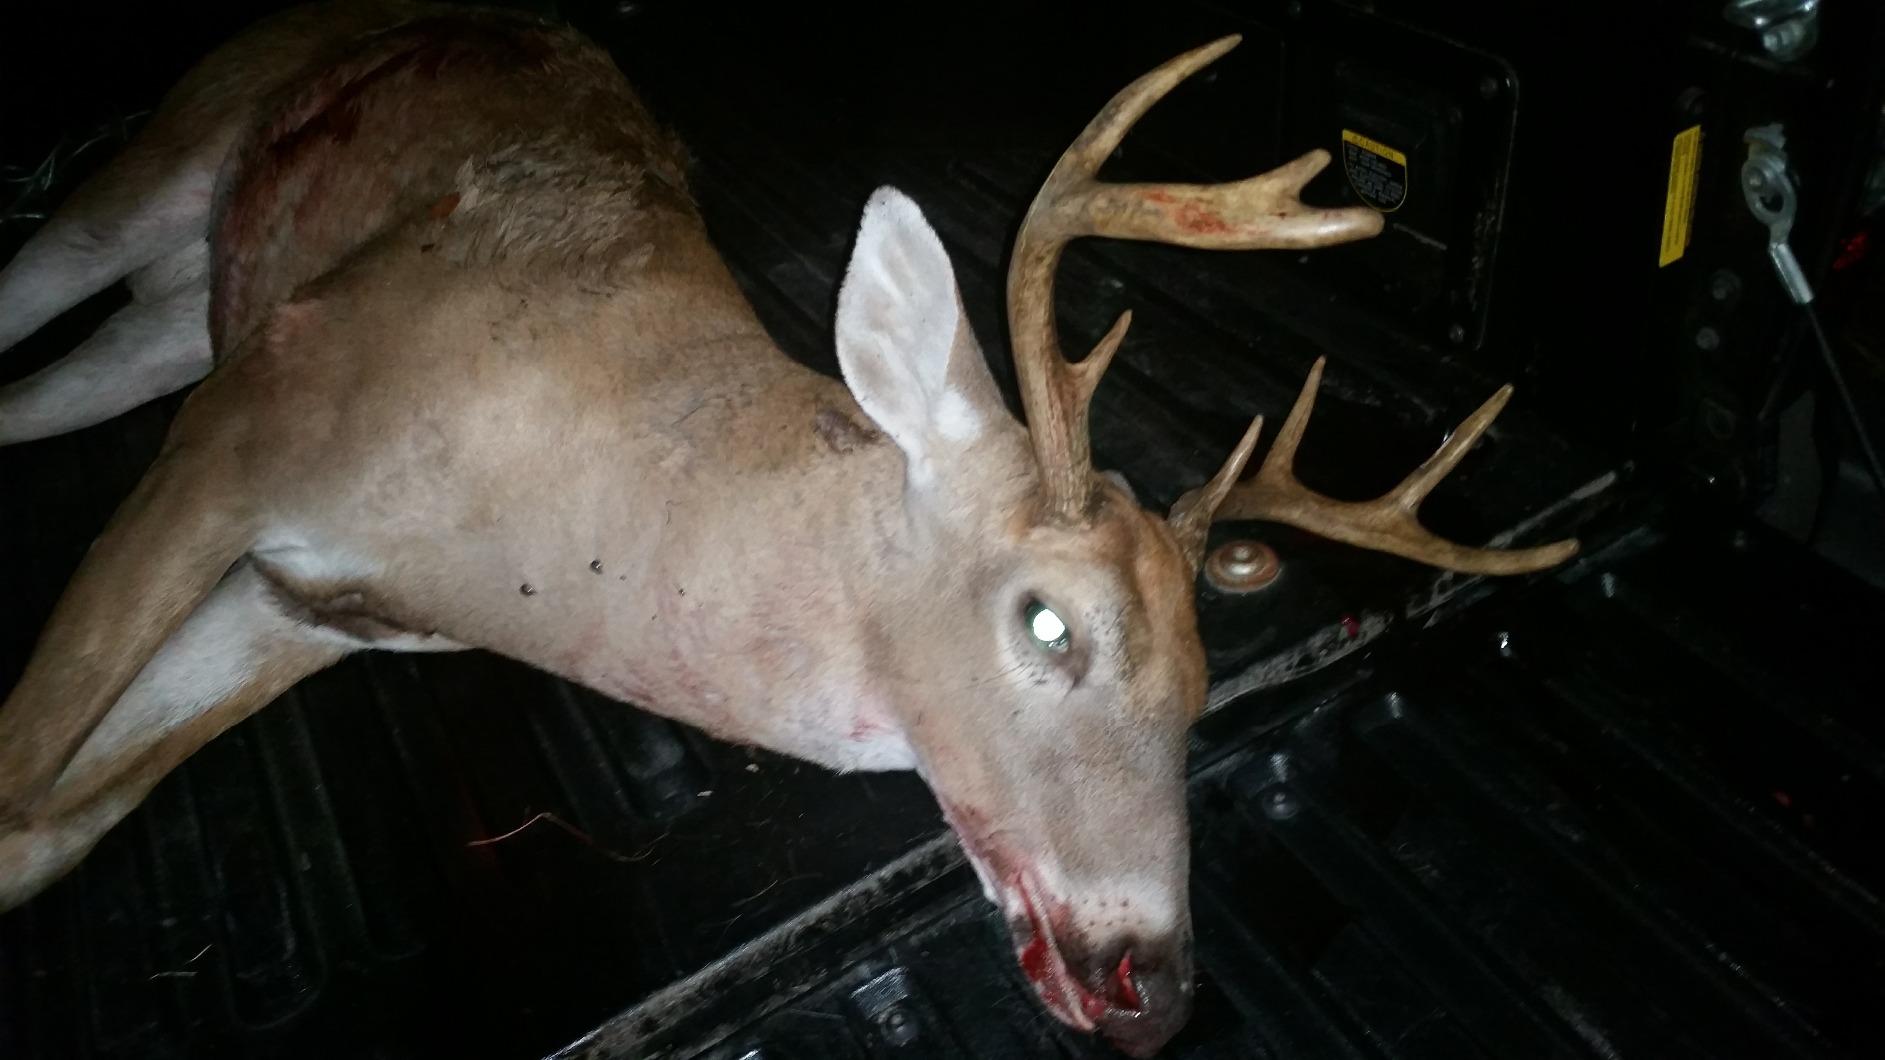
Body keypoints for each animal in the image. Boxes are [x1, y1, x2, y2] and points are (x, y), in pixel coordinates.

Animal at [0, 2, 1576, 1054]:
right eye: (1048, 621)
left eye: (1202, 689)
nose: (1154, 988)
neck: (544, 536)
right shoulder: (259, 416)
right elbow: (23, 769)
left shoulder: (308, 606)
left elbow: (41, 825)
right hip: (155, 177)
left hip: (169, 327)